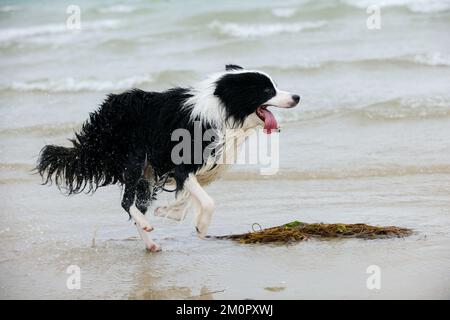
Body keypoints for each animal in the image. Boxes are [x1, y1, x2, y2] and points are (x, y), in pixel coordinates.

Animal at [37, 64, 300, 250]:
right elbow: (207, 201)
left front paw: (169, 211)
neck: (224, 111)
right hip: (135, 159)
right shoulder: (182, 164)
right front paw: (200, 227)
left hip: (146, 174)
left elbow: (188, 197)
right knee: (126, 202)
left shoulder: (195, 170)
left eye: (275, 86)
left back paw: (150, 243)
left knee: (137, 205)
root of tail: (102, 114)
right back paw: (146, 226)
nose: (297, 97)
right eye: (267, 90)